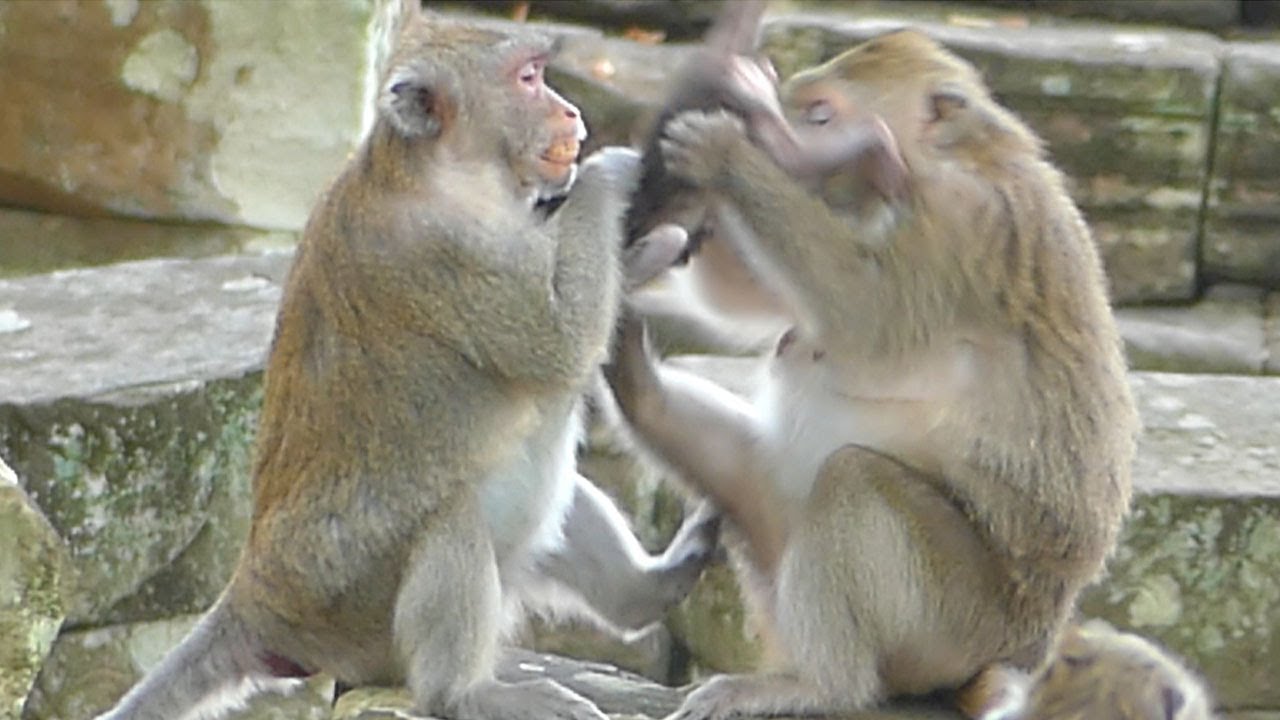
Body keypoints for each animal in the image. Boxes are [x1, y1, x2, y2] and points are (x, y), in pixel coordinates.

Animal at [94, 5, 717, 720]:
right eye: (529, 78)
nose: (570, 113)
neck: (444, 174)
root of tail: (256, 597)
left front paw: (653, 242)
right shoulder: (443, 253)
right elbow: (558, 343)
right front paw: (609, 175)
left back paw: (648, 590)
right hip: (352, 616)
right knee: (454, 518)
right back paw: (466, 691)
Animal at [604, 28, 1139, 720]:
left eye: (821, 116)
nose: (791, 146)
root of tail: (1030, 643)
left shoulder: (964, 220)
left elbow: (867, 318)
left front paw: (725, 154)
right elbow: (742, 294)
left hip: (959, 618)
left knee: (853, 479)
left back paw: (820, 686)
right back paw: (632, 377)